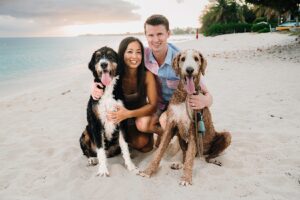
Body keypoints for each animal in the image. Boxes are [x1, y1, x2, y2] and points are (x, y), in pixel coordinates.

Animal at [78, 46, 137, 176]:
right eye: (98, 57)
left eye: (110, 56)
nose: (103, 64)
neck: (107, 89)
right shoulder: (96, 123)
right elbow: (100, 149)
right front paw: (103, 170)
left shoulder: (121, 120)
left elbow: (124, 145)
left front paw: (130, 165)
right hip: (85, 132)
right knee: (87, 152)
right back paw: (92, 159)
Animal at [138, 49, 232, 185]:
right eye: (182, 59)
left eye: (196, 59)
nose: (189, 70)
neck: (185, 96)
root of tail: (202, 153)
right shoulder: (171, 124)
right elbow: (160, 151)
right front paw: (148, 171)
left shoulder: (193, 129)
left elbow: (189, 159)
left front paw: (186, 179)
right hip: (181, 138)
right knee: (187, 155)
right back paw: (179, 164)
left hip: (225, 137)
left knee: (207, 156)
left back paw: (212, 160)